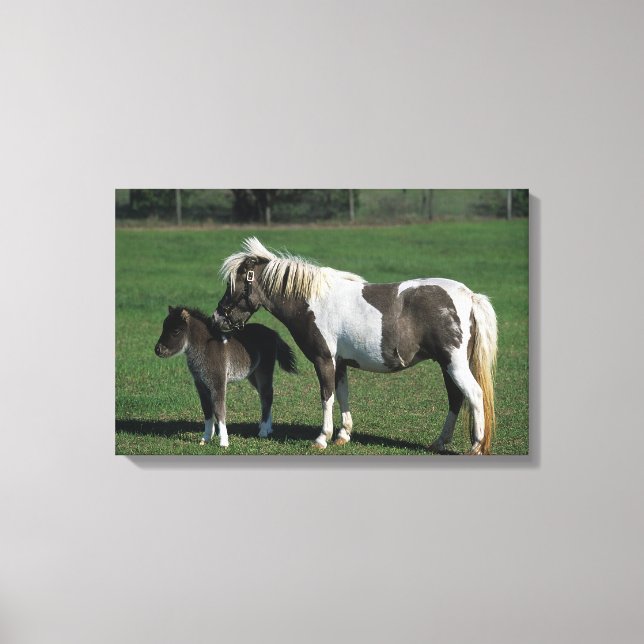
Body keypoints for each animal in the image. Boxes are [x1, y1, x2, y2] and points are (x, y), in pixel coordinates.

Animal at [155, 306, 297, 448]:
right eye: (163, 327)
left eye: (176, 330)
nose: (158, 350)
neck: (205, 347)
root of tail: (272, 332)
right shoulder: (200, 385)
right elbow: (207, 411)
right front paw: (205, 438)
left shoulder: (218, 383)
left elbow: (219, 410)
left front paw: (224, 442)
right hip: (252, 374)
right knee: (264, 396)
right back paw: (267, 427)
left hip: (264, 370)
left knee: (267, 395)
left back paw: (263, 431)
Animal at [211, 238, 497, 454]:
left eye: (235, 283)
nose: (217, 318)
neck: (312, 301)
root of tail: (468, 296)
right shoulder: (340, 363)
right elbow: (343, 395)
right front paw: (343, 435)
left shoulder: (324, 360)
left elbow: (326, 396)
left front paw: (322, 438)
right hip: (446, 364)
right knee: (456, 398)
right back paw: (439, 443)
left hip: (454, 363)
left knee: (474, 394)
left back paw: (475, 446)